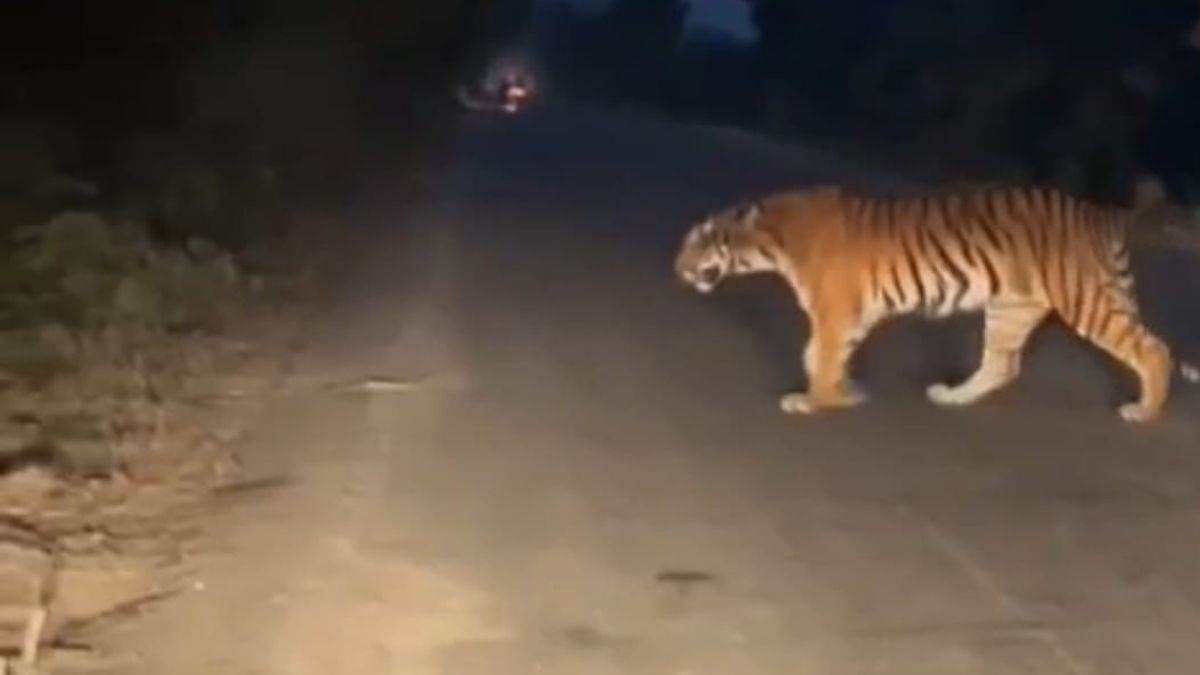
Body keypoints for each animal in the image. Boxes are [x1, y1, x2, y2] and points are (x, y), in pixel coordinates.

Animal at [674, 184, 1199, 423]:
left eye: (695, 242)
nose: (675, 270)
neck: (770, 238)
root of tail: (1102, 212)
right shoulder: (851, 315)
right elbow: (823, 354)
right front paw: (845, 392)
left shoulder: (835, 311)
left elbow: (821, 355)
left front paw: (814, 400)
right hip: (1011, 309)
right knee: (1002, 364)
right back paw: (953, 396)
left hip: (1083, 300)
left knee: (1154, 350)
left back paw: (1143, 410)